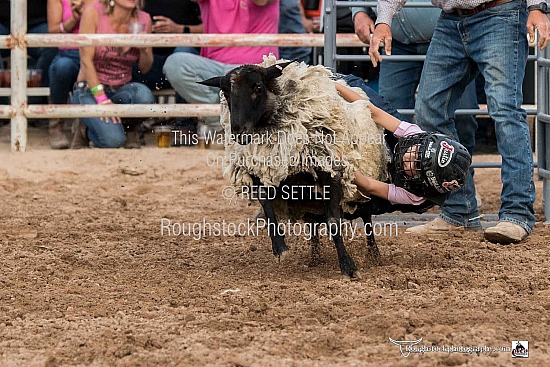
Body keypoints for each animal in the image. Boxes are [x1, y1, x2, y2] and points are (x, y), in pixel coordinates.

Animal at [201, 55, 430, 278]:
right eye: (225, 92)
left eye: (257, 87)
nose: (239, 132)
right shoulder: (260, 173)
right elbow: (268, 209)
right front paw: (280, 249)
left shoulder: (332, 173)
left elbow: (334, 221)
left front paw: (348, 267)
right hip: (310, 197)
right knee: (312, 223)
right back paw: (315, 257)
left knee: (365, 219)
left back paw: (373, 255)